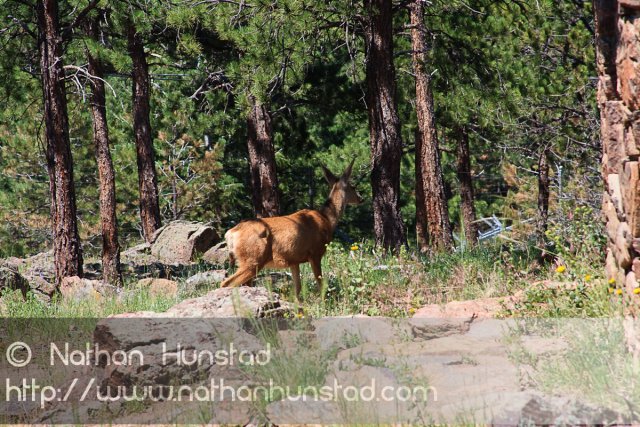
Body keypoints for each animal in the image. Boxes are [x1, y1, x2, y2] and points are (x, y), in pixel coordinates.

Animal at [220, 160, 363, 299]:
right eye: (353, 187)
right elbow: (320, 284)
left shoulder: (294, 260)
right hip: (253, 259)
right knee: (226, 283)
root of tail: (230, 233)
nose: (361, 198)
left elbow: (297, 289)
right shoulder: (315, 253)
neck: (327, 219)